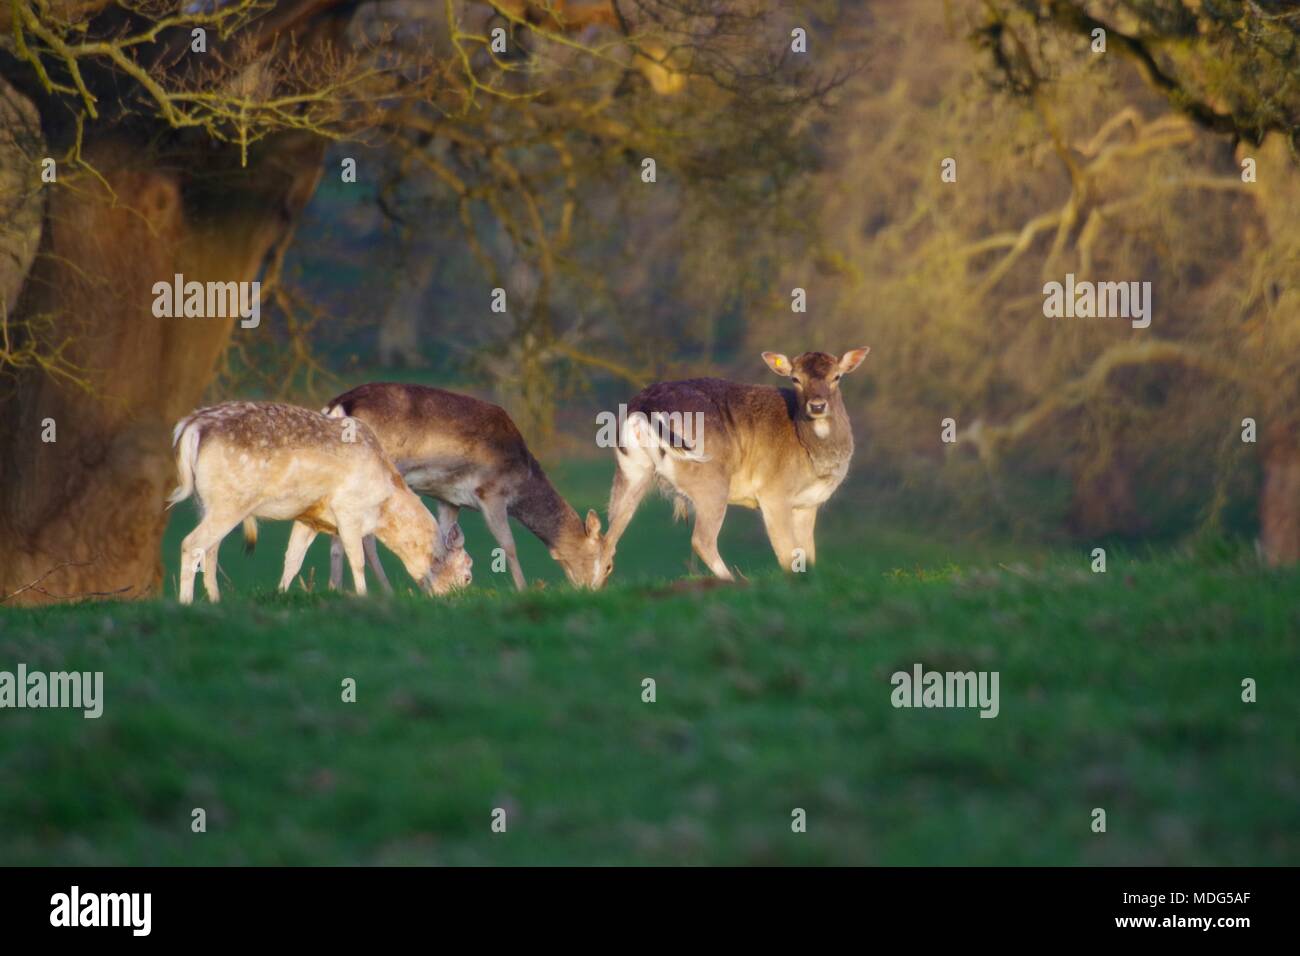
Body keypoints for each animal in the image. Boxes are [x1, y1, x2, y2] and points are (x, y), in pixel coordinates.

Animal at [165, 403, 473, 606]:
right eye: (468, 574)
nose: (457, 600)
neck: (383, 502)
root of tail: (191, 427)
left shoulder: (309, 517)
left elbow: (293, 559)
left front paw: (280, 593)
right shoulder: (348, 510)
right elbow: (357, 559)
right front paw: (362, 596)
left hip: (207, 503)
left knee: (210, 548)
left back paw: (215, 600)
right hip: (231, 501)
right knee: (192, 543)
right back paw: (186, 602)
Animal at [322, 382, 611, 590]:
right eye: (609, 564)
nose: (594, 592)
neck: (522, 477)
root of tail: (337, 405)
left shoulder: (448, 499)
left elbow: (444, 539)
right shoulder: (491, 491)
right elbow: (508, 545)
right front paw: (523, 589)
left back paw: (336, 589)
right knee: (365, 534)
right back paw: (381, 591)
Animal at [600, 348, 868, 580]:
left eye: (837, 376)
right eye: (795, 378)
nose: (818, 405)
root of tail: (643, 407)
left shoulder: (807, 504)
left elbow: (807, 555)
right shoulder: (774, 492)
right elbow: (788, 553)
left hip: (630, 471)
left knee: (609, 533)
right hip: (710, 479)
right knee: (702, 539)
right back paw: (733, 580)